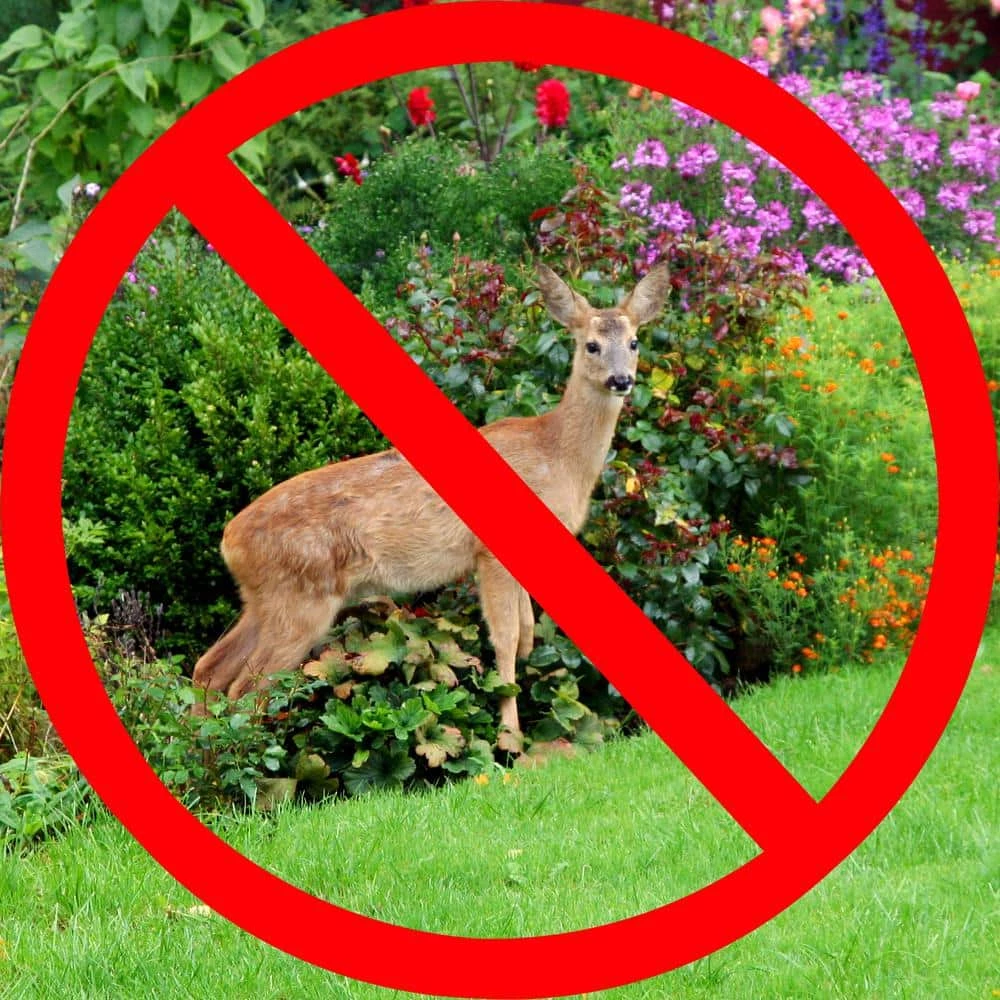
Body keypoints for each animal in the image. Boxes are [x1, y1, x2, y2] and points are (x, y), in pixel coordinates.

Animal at [192, 262, 671, 746]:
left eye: (634, 342)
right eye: (591, 344)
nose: (621, 380)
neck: (556, 455)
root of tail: (229, 541)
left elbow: (527, 635)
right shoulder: (489, 554)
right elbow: (505, 639)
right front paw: (509, 737)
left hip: (264, 598)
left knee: (210, 667)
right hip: (301, 597)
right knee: (247, 686)